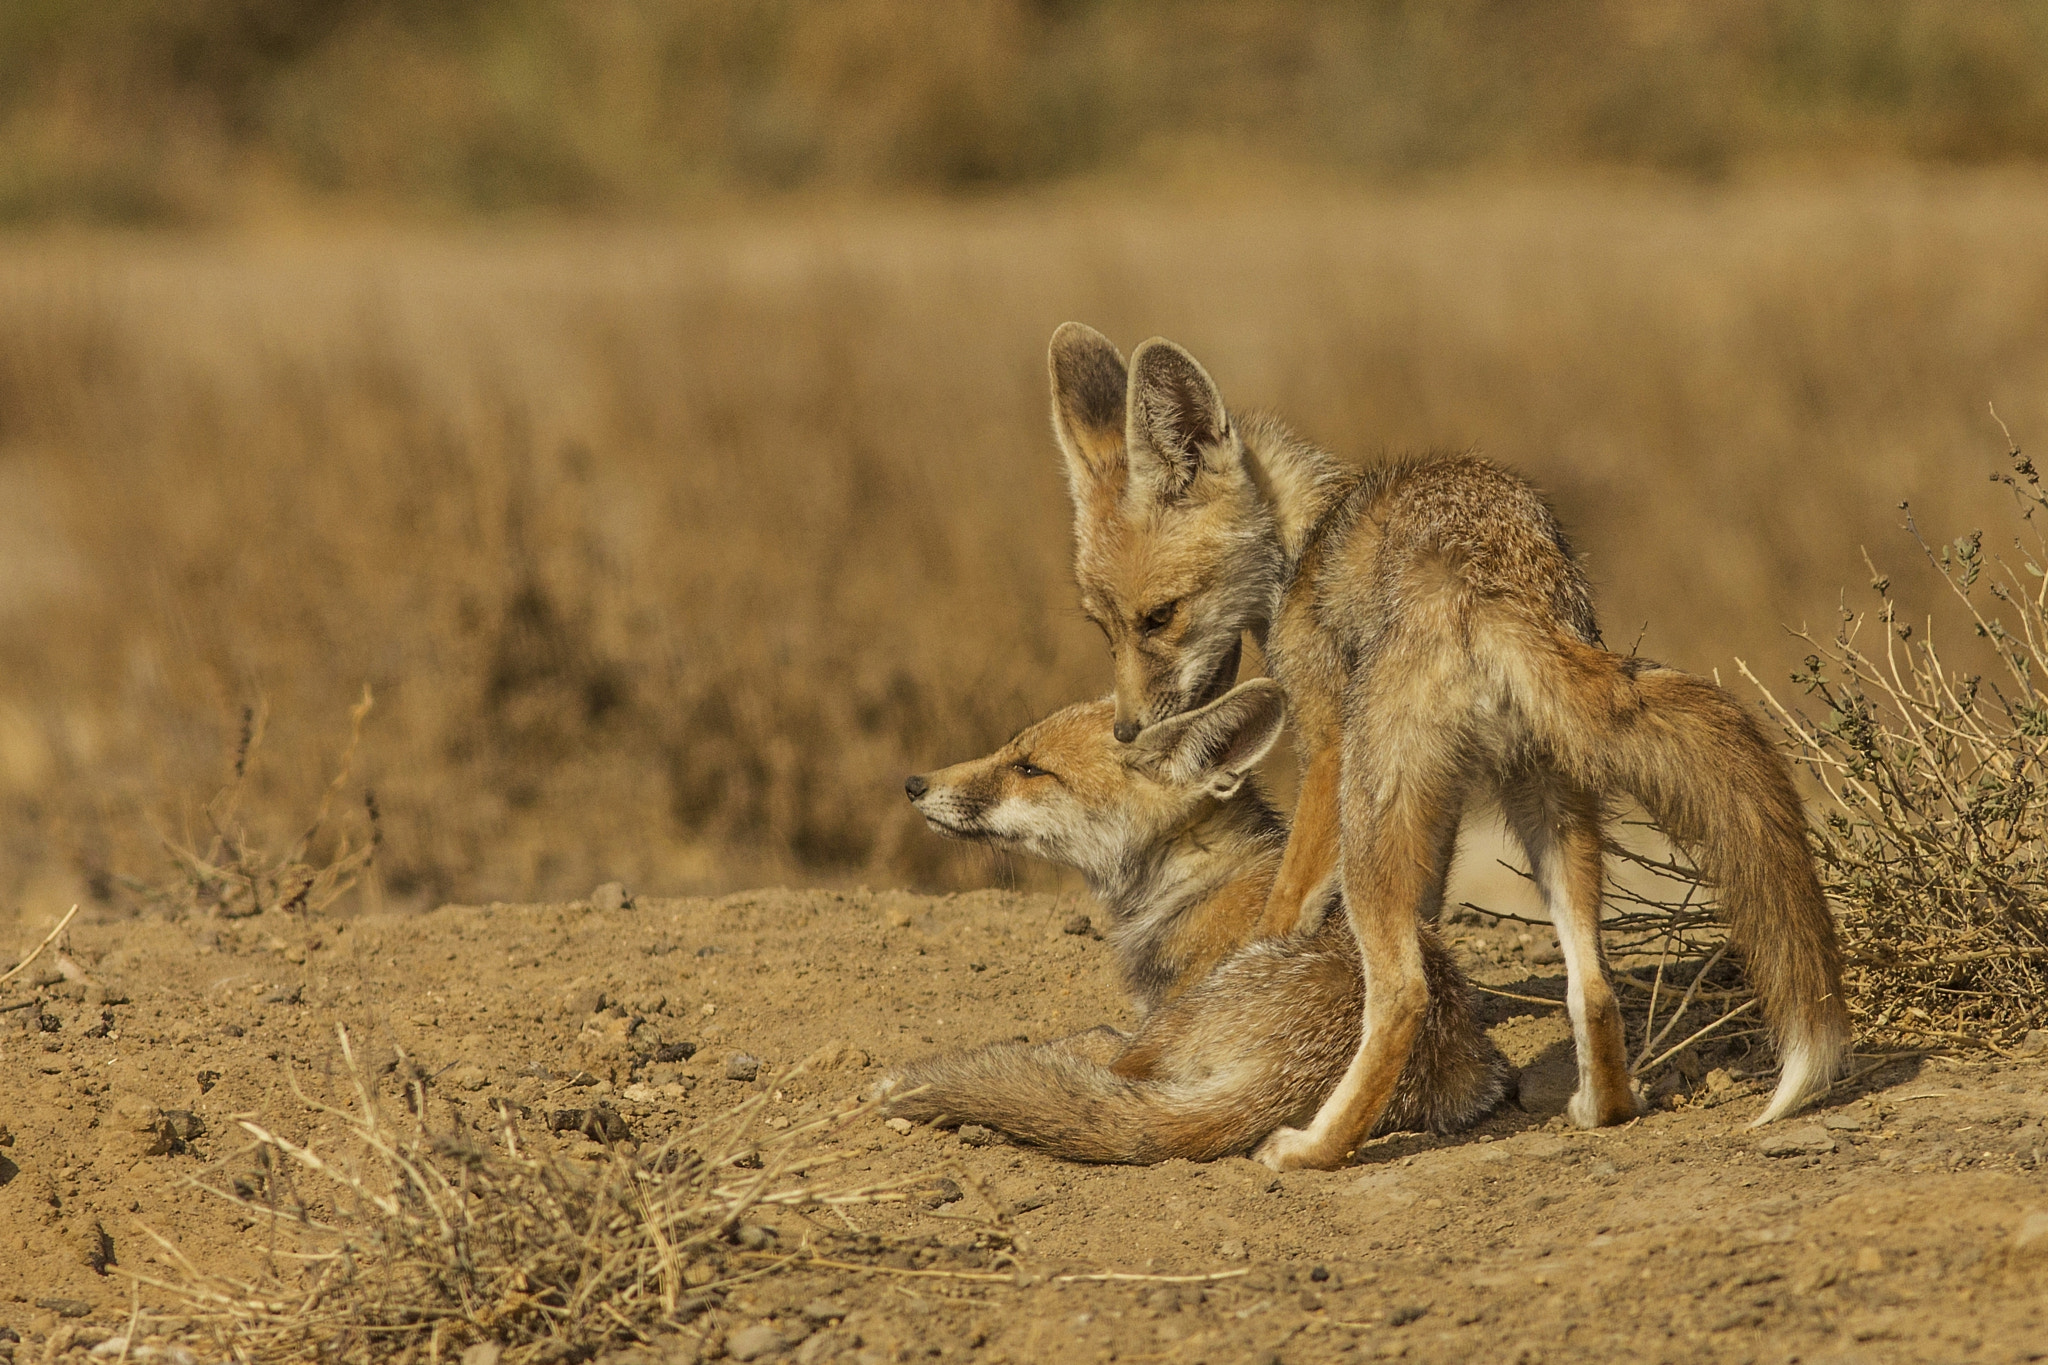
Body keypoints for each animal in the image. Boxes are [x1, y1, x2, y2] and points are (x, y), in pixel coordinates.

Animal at [888, 683, 1515, 1162]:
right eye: (1010, 750)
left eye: (1029, 769)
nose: (914, 785)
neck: (1193, 879)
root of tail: (1288, 1072)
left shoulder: (1152, 1017)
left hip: (1174, 1023)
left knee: (1103, 1055)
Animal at [1048, 325, 1851, 1170]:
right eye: (1104, 625)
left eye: (1160, 616)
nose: (1128, 730)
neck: (1305, 545)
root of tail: (1487, 579)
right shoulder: (1449, 803)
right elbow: (1433, 912)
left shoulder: (1325, 743)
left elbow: (1283, 910)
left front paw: (1252, 973)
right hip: (1543, 802)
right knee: (1591, 984)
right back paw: (1602, 1106)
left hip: (1371, 810)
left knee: (1403, 990)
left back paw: (1313, 1147)